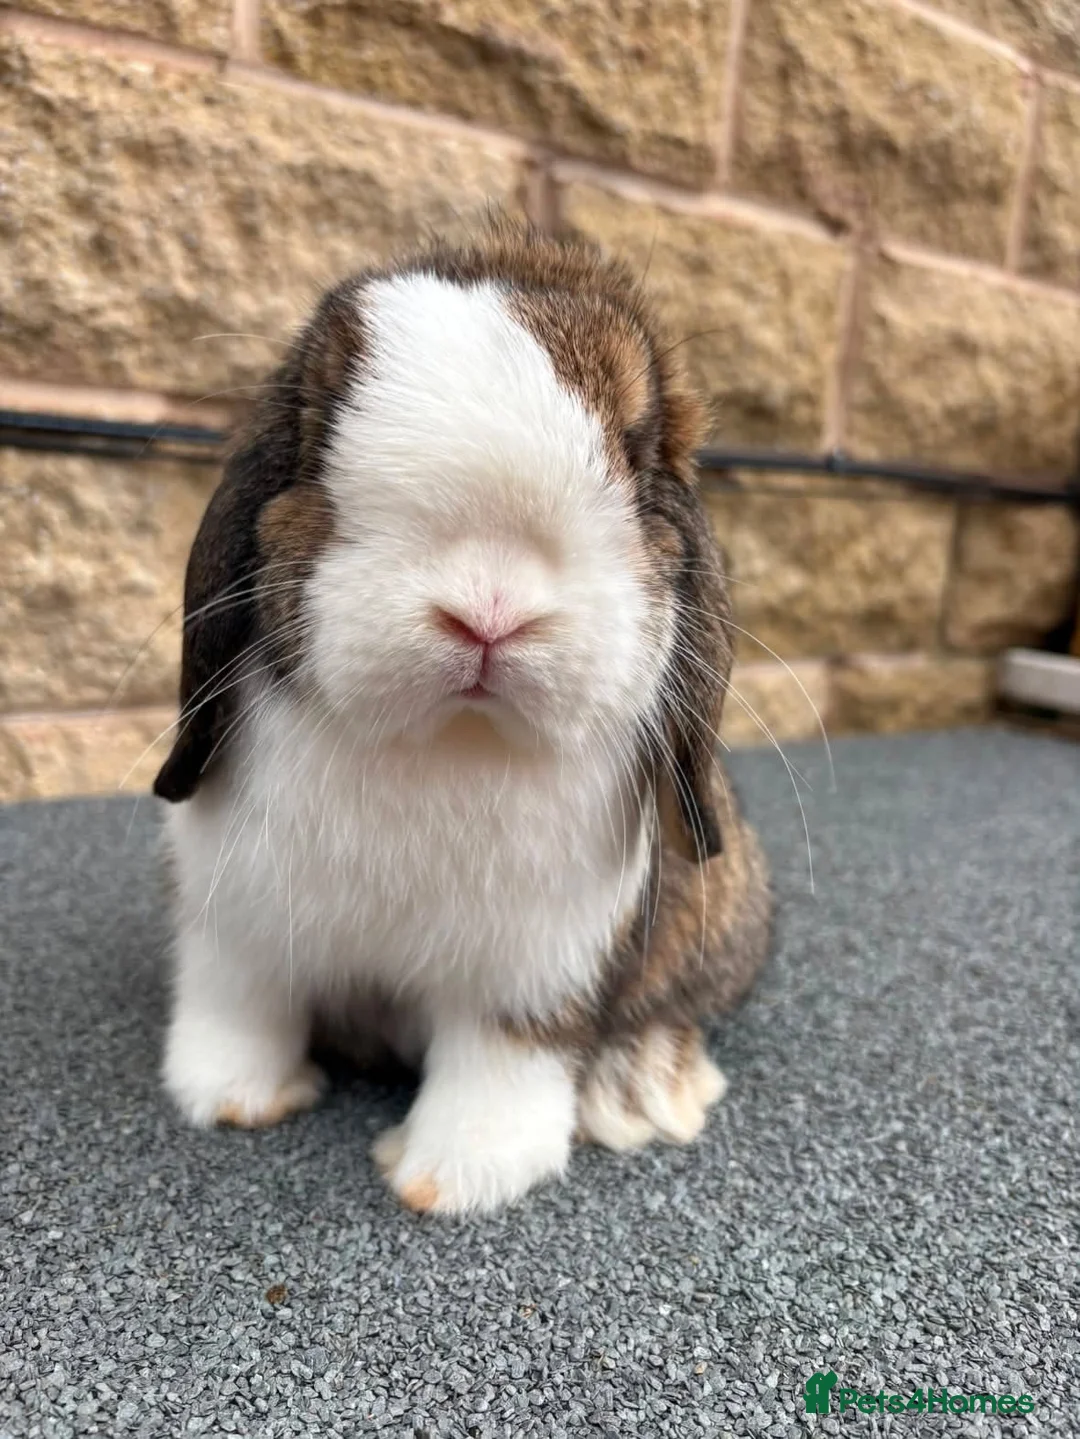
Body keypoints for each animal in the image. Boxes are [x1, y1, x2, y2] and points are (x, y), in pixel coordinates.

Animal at [153, 215, 772, 1215]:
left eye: (637, 450)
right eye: (319, 433)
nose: (489, 612)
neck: (447, 740)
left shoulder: (532, 969)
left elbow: (502, 1060)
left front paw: (453, 1177)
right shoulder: (235, 922)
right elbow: (238, 1003)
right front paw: (230, 1097)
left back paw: (640, 1086)